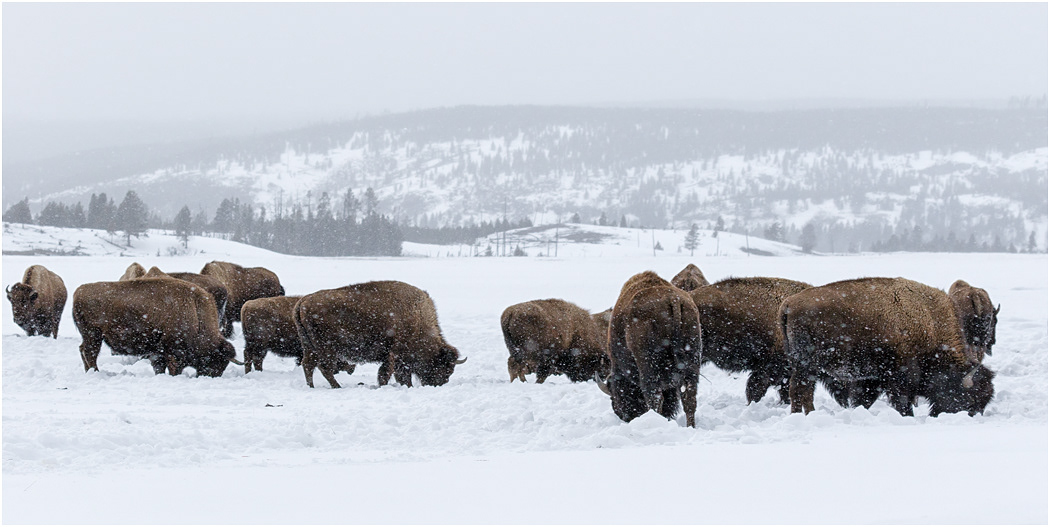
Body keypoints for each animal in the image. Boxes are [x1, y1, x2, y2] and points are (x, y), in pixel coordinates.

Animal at [73, 277, 238, 377]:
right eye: (217, 360)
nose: (211, 375)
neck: (195, 312)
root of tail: (78, 292)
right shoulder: (173, 352)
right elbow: (173, 367)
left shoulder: (158, 352)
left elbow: (159, 367)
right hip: (93, 335)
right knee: (90, 353)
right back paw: (95, 372)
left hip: (90, 336)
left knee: (83, 350)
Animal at [294, 280, 466, 388]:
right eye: (445, 367)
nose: (439, 383)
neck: (417, 318)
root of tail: (303, 301)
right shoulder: (395, 355)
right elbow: (390, 373)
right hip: (326, 349)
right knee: (323, 367)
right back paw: (337, 387)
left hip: (309, 346)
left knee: (308, 365)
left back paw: (312, 387)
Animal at [598, 271, 702, 427]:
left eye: (616, 398)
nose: (626, 417)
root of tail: (673, 299)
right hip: (692, 360)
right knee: (689, 397)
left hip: (648, 366)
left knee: (655, 397)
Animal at [780, 277, 995, 417]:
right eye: (970, 396)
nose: (972, 415)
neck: (929, 324)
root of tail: (789, 303)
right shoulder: (900, 377)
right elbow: (902, 402)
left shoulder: (872, 378)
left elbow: (864, 399)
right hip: (807, 364)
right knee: (799, 388)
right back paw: (802, 415)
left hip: (806, 366)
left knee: (803, 389)